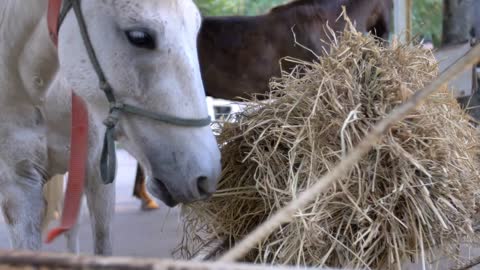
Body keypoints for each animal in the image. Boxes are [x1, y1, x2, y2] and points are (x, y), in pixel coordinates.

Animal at [0, 0, 221, 254]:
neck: (38, 92)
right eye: (139, 37)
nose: (206, 176)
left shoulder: (96, 171)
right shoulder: (19, 186)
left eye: (196, 26)